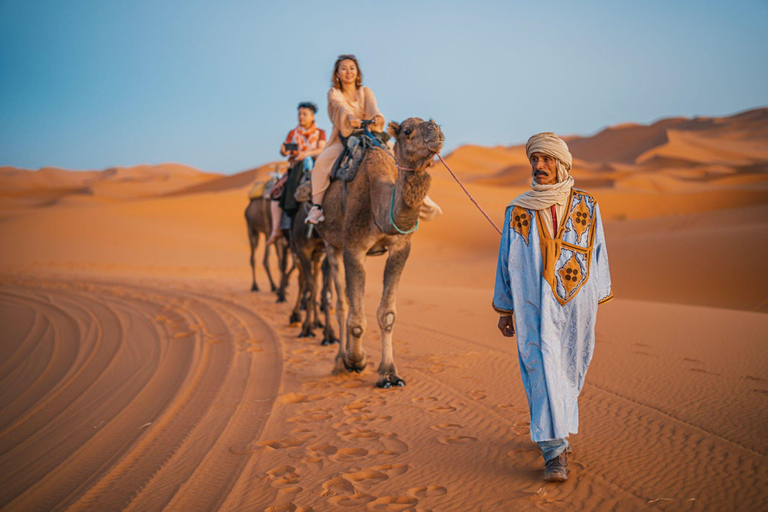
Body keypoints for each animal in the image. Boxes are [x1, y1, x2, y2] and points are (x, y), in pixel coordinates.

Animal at [314, 117, 444, 388]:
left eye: (432, 122)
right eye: (407, 131)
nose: (435, 129)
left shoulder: (400, 248)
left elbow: (387, 314)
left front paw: (389, 374)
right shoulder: (353, 249)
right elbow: (355, 316)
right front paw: (356, 360)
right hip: (332, 244)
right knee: (342, 305)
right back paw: (339, 361)